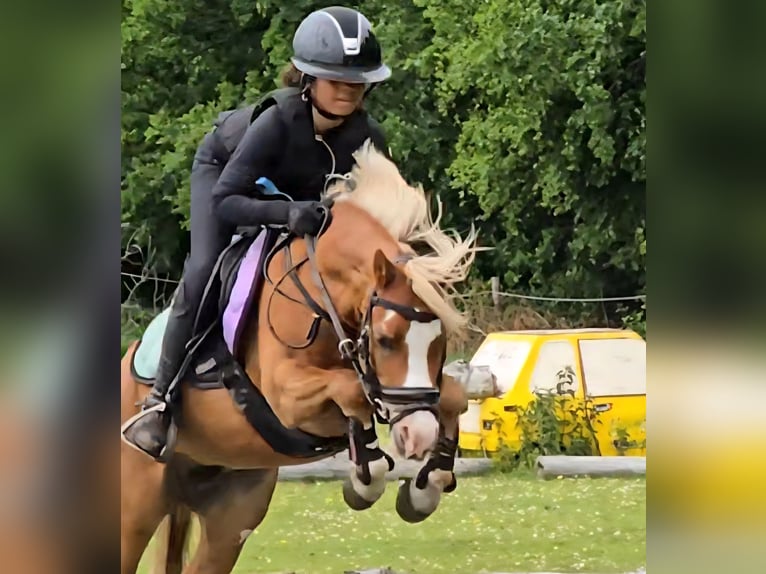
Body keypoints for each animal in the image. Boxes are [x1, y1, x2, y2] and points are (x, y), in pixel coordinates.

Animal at [120, 141, 480, 574]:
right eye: (385, 339)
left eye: (440, 341)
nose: (418, 435)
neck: (321, 295)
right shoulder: (287, 399)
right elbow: (351, 391)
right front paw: (366, 479)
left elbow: (452, 396)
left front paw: (425, 487)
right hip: (133, 512)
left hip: (229, 515)